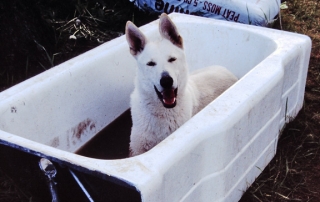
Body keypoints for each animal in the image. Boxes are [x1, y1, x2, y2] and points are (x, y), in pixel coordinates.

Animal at [125, 13, 238, 156]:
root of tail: (230, 73)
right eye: (150, 64)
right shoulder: (136, 149)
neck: (163, 115)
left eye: (172, 59)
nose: (166, 81)